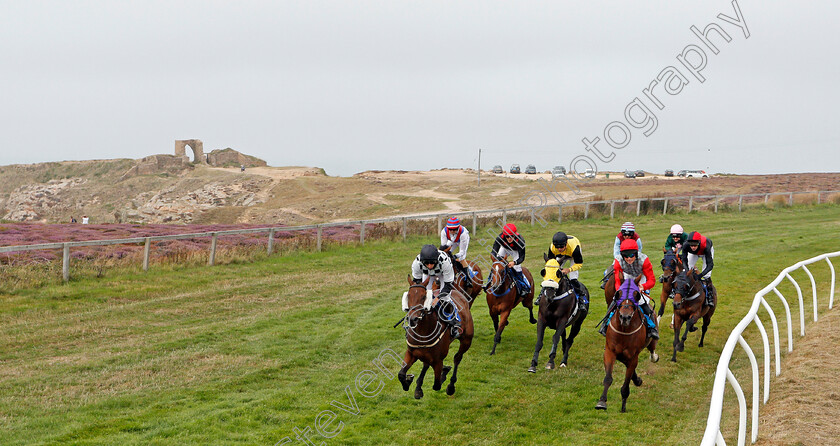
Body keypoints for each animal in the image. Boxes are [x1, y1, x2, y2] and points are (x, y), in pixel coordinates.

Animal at [592, 278, 660, 412]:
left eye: (636, 295)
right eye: (619, 294)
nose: (625, 317)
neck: (624, 330)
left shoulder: (633, 356)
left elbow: (626, 382)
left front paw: (623, 405)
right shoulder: (610, 351)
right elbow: (608, 378)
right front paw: (602, 402)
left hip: (651, 340)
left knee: (652, 350)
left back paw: (654, 357)